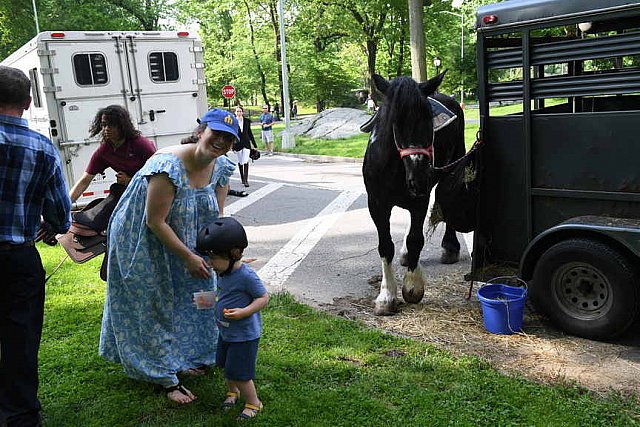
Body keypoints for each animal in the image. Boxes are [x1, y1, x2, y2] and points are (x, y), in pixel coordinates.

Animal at [364, 72, 464, 314]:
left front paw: (412, 286)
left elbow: (416, 239)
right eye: (395, 121)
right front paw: (386, 296)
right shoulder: (377, 204)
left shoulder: (420, 199)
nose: (419, 178)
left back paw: (450, 247)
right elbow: (385, 245)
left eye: (429, 119)